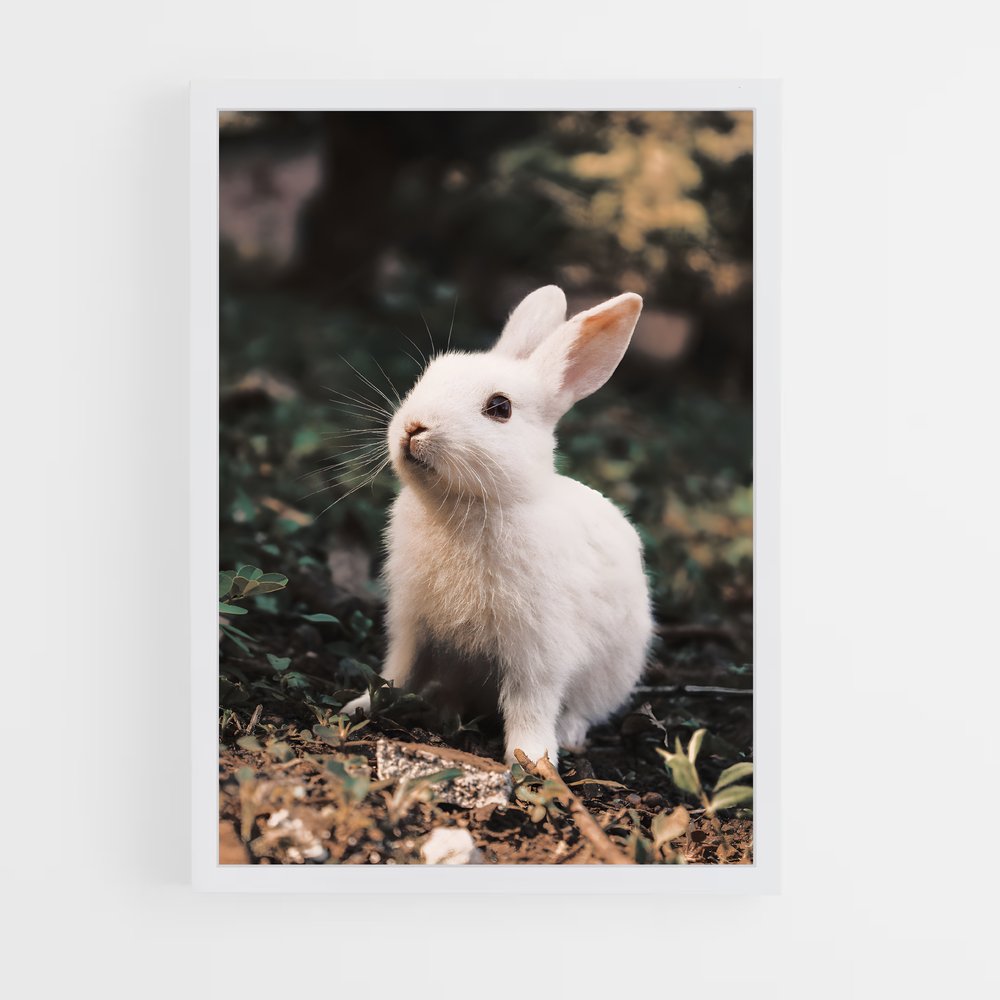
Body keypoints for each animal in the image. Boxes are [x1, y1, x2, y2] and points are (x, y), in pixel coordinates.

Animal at [342, 286, 654, 767]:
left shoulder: (538, 649)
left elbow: (531, 702)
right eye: (429, 376)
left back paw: (569, 736)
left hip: (612, 672)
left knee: (582, 709)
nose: (414, 427)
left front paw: (533, 760)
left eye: (500, 408)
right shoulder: (411, 623)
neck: (468, 506)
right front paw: (360, 706)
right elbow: (397, 670)